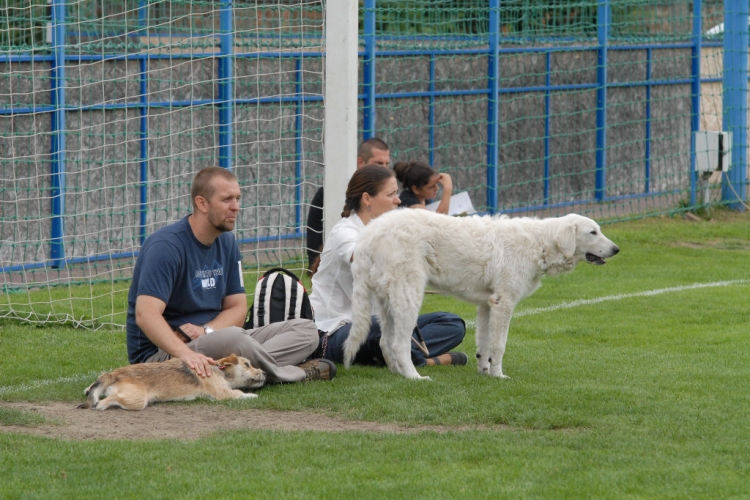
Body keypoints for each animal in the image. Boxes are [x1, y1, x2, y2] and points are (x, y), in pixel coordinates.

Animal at [78, 352, 268, 410]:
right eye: (247, 364)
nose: (265, 373)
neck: (218, 371)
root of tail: (115, 374)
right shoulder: (224, 393)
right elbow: (239, 393)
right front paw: (250, 395)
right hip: (137, 399)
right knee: (105, 401)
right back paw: (100, 405)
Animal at [344, 210, 620, 378]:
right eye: (593, 232)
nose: (617, 250)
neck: (539, 244)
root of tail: (367, 236)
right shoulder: (504, 303)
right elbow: (499, 345)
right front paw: (499, 375)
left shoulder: (488, 305)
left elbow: (485, 344)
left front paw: (484, 371)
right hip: (409, 298)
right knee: (398, 344)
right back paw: (415, 377)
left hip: (388, 303)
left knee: (383, 342)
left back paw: (398, 374)